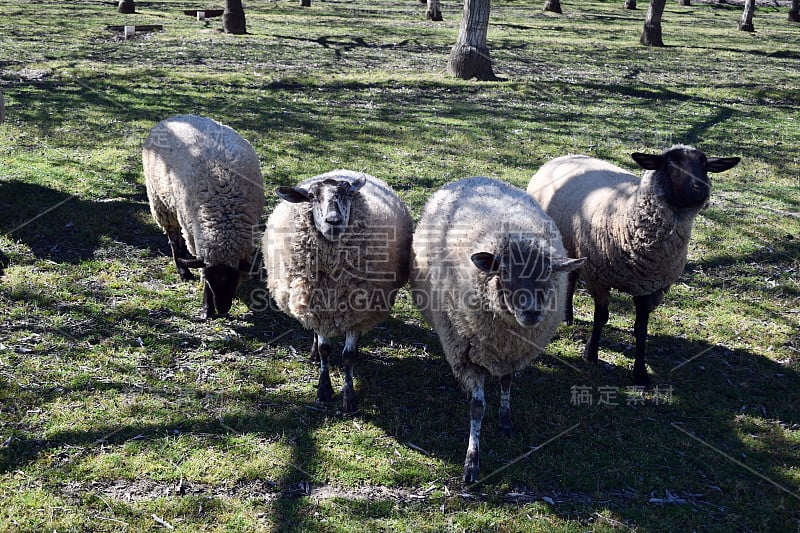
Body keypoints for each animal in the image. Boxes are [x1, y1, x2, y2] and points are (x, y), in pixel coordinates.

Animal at [142, 114, 264, 318]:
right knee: (174, 240)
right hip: (162, 203)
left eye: (235, 278)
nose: (222, 309)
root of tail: (172, 117)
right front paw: (207, 308)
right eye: (209, 279)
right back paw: (183, 271)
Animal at [264, 169, 412, 412]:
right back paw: (314, 351)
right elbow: (325, 350)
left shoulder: (357, 311)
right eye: (311, 196)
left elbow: (348, 356)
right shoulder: (318, 308)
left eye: (348, 194)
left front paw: (349, 397)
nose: (333, 221)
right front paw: (324, 389)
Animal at [410, 177, 584, 484]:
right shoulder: (466, 355)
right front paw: (472, 461)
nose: (532, 313)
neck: (504, 339)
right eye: (504, 273)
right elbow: (477, 408)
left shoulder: (513, 354)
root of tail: (475, 177)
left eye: (547, 275)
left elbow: (506, 383)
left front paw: (505, 420)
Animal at [528, 143, 740, 384]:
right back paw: (567, 317)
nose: (701, 188)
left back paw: (568, 315)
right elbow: (601, 317)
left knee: (572, 276)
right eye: (671, 163)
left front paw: (640, 373)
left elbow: (641, 329)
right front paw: (590, 354)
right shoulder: (599, 278)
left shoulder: (648, 286)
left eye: (705, 165)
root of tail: (567, 155)